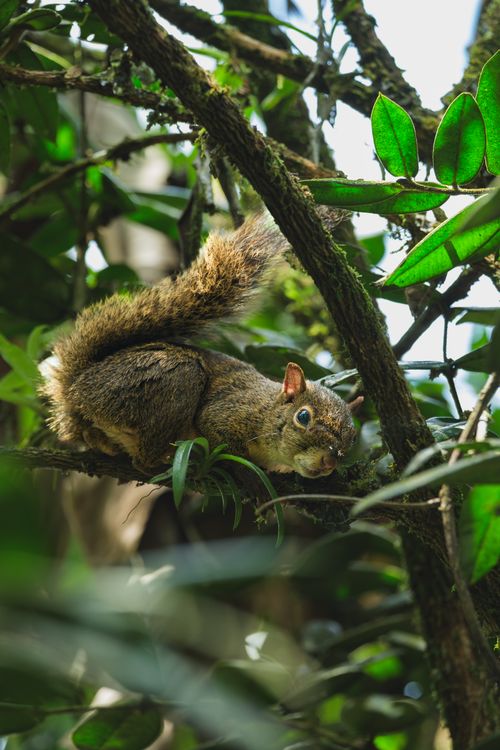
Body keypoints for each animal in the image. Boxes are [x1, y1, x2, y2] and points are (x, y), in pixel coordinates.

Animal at [43, 216, 362, 479]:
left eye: (353, 436)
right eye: (303, 417)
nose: (329, 462)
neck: (266, 410)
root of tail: (77, 388)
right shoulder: (228, 413)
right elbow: (219, 433)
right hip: (173, 378)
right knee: (143, 460)